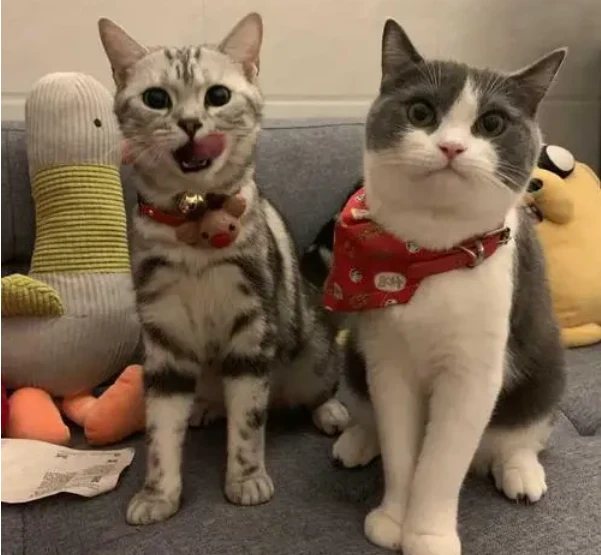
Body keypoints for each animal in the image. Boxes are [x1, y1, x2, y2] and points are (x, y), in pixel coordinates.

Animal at [98, 12, 349, 526]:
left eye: (217, 95)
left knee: (321, 384)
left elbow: (249, 423)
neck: (194, 220)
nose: (192, 123)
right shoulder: (164, 340)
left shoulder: (251, 333)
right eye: (157, 98)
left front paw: (247, 478)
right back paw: (204, 406)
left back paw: (329, 411)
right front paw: (158, 493)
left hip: (311, 352)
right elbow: (159, 433)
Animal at [329, 19, 567, 555]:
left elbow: (439, 464)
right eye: (421, 112)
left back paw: (520, 469)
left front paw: (427, 534)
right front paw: (393, 519)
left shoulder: (473, 371)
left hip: (544, 366)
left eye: (492, 124)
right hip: (354, 356)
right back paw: (357, 439)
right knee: (366, 409)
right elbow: (401, 444)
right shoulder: (387, 359)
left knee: (524, 432)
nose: (451, 147)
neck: (427, 256)